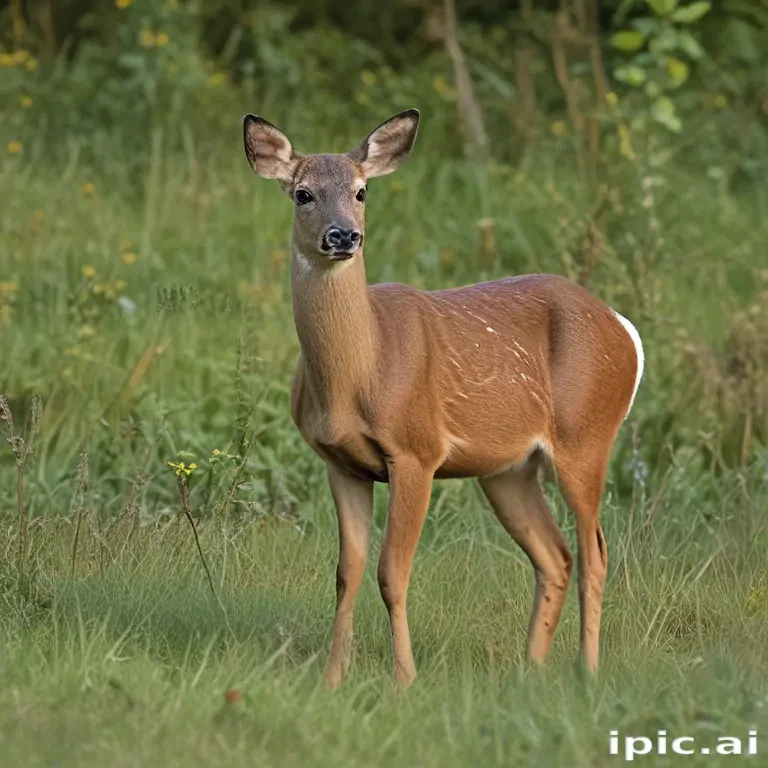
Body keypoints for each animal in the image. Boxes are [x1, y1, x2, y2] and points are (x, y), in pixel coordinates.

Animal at [243, 108, 644, 691]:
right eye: (302, 194)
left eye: (362, 191)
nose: (344, 235)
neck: (360, 371)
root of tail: (624, 329)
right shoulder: (341, 463)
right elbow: (347, 573)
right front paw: (332, 679)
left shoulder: (417, 451)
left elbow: (391, 572)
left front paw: (405, 679)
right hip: (508, 469)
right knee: (556, 555)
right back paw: (530, 670)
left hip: (586, 436)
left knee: (595, 553)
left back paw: (586, 672)